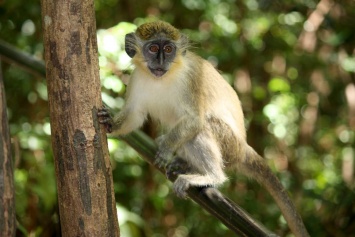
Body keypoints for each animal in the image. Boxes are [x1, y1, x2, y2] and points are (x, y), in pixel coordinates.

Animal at [98, 20, 310, 237]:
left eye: (168, 49)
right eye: (153, 48)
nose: (161, 62)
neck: (163, 78)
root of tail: (243, 149)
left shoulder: (191, 78)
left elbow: (194, 120)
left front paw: (166, 148)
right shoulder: (136, 79)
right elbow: (135, 115)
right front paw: (111, 124)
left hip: (228, 144)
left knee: (202, 128)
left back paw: (212, 175)